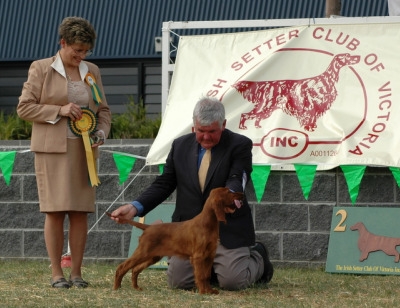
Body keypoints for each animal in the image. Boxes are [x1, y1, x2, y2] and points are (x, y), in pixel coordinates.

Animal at [108, 186, 242, 294]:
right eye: (228, 191)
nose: (242, 194)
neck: (208, 223)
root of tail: (148, 227)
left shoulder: (209, 256)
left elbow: (206, 275)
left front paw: (209, 290)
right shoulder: (198, 256)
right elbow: (200, 275)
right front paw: (203, 292)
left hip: (153, 256)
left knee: (135, 269)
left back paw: (136, 287)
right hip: (143, 252)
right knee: (122, 267)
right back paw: (116, 287)